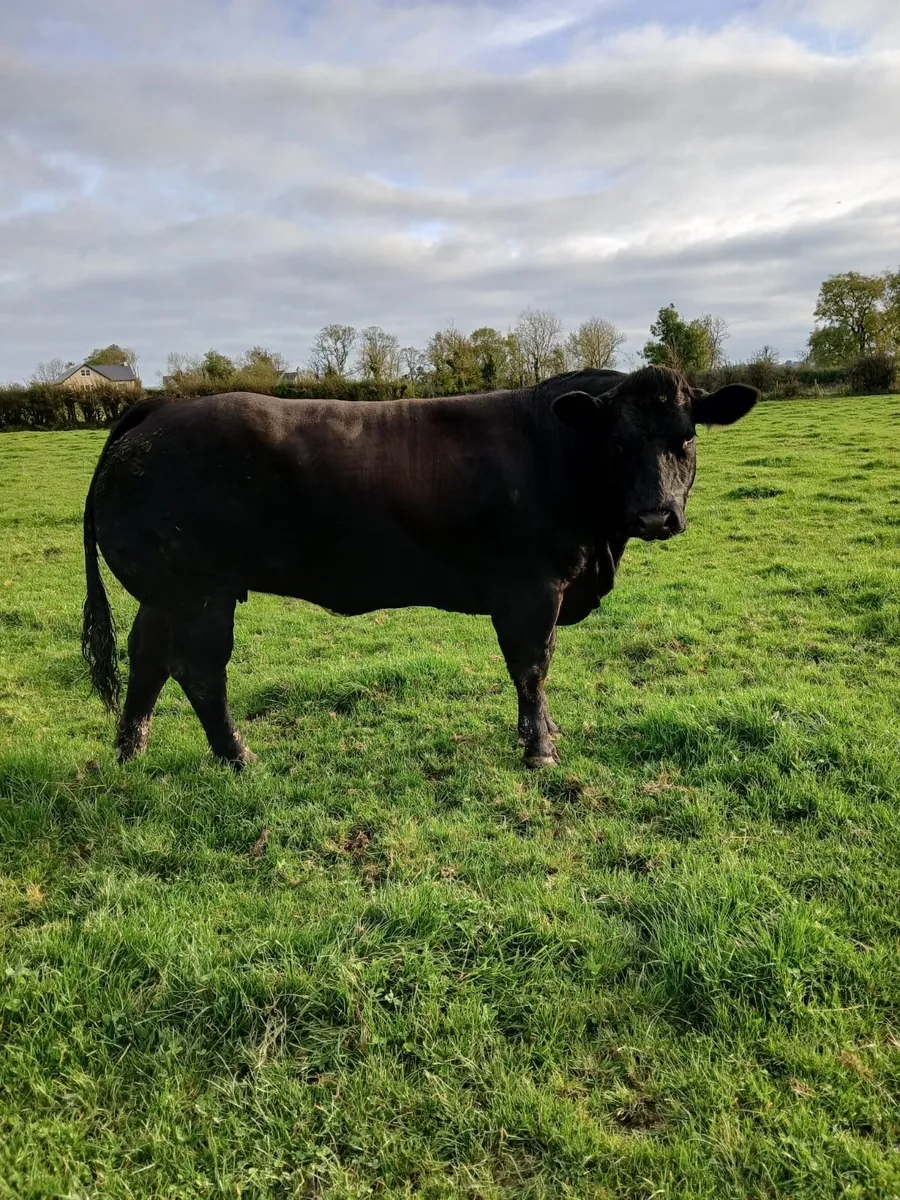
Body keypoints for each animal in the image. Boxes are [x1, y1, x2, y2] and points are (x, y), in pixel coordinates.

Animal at [82, 365, 757, 769]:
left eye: (686, 436)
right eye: (617, 441)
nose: (656, 514)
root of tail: (160, 409)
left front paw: (543, 734)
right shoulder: (531, 590)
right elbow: (531, 669)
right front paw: (539, 749)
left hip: (165, 594)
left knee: (147, 659)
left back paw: (130, 753)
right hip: (200, 592)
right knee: (199, 672)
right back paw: (238, 756)